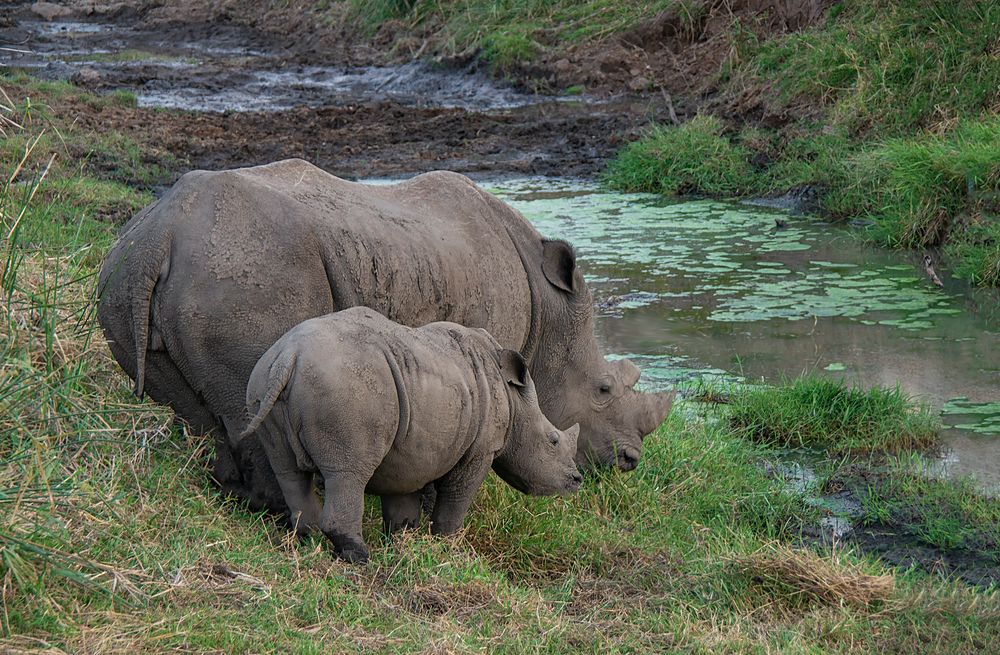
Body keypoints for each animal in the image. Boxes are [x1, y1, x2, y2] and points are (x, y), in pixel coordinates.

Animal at [240, 308, 580, 564]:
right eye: (552, 441)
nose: (577, 481)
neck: (514, 397)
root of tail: (289, 355)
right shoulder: (481, 449)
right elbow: (457, 497)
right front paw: (448, 544)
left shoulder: (412, 449)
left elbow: (402, 491)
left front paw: (404, 538)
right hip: (346, 388)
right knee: (348, 473)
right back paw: (360, 557)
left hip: (263, 380)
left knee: (289, 471)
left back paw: (308, 541)